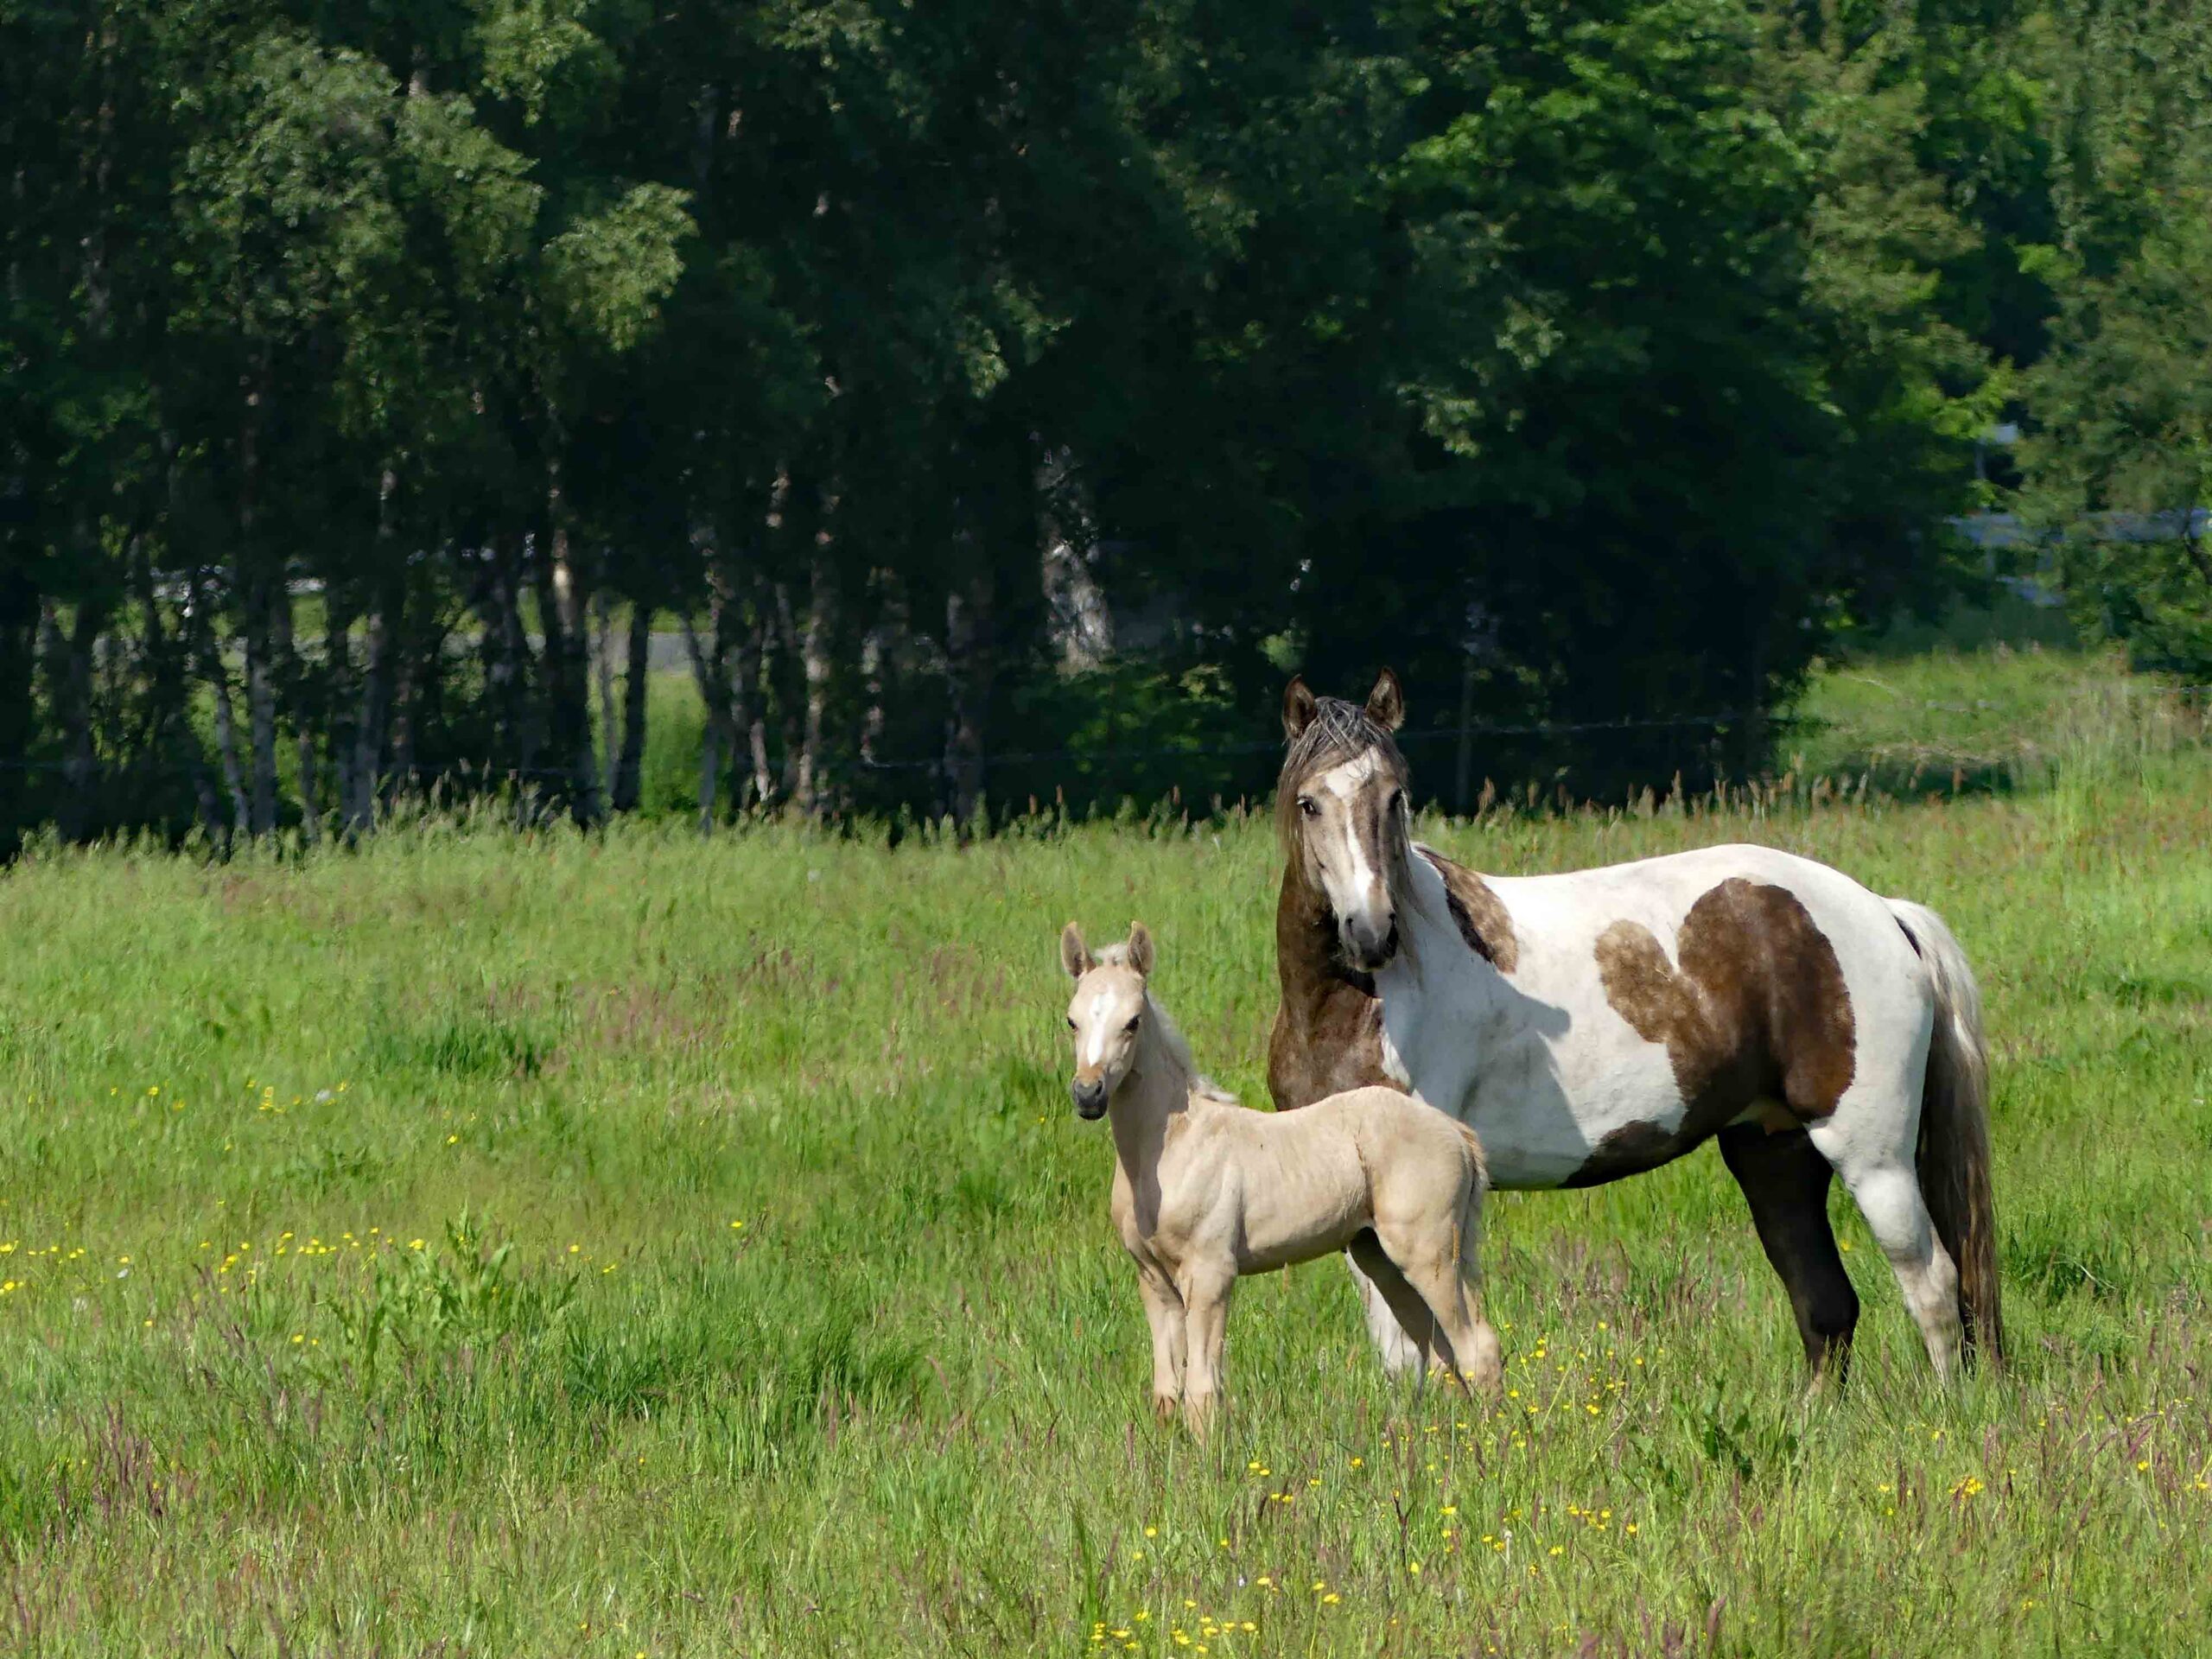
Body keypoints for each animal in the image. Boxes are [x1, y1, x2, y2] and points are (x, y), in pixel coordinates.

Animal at [1052, 925, 1503, 1442]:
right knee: (1442, 1352)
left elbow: (1202, 1390)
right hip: (1380, 1257)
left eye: (1133, 1022)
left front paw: (1210, 1461)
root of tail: (1456, 1132)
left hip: (1428, 1252)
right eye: (1072, 1021)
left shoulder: (1210, 1274)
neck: (1167, 1150)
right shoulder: (1154, 1280)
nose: (1088, 1095)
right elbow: (1167, 1392)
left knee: (1476, 1348)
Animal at [1265, 668, 2008, 1380]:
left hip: (1870, 1155)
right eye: (1309, 803)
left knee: (1933, 1285)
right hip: (1774, 1151)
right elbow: (1403, 1354)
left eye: (1394, 797)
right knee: (1825, 1305)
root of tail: (1884, 911)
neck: (1356, 1006)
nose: (1370, 933)